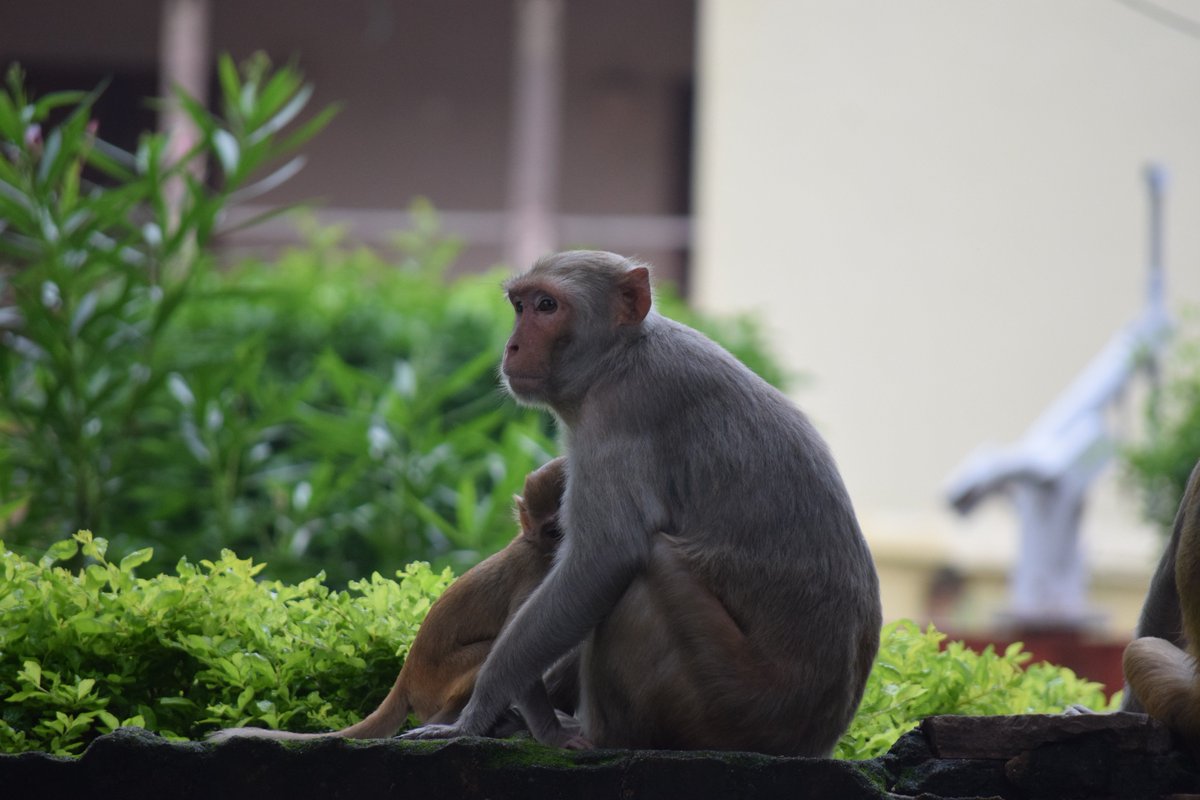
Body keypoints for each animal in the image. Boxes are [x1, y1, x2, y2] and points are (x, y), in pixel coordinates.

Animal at [210, 456, 588, 749]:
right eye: (554, 531)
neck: (537, 547)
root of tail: (406, 677)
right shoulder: (536, 575)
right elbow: (519, 650)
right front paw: (553, 735)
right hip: (437, 682)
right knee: (489, 654)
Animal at [402, 250, 882, 756]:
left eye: (547, 305)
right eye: (520, 305)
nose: (512, 347)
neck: (620, 356)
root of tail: (817, 740)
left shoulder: (616, 415)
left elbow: (603, 561)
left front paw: (476, 716)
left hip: (728, 703)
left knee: (649, 567)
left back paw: (599, 736)